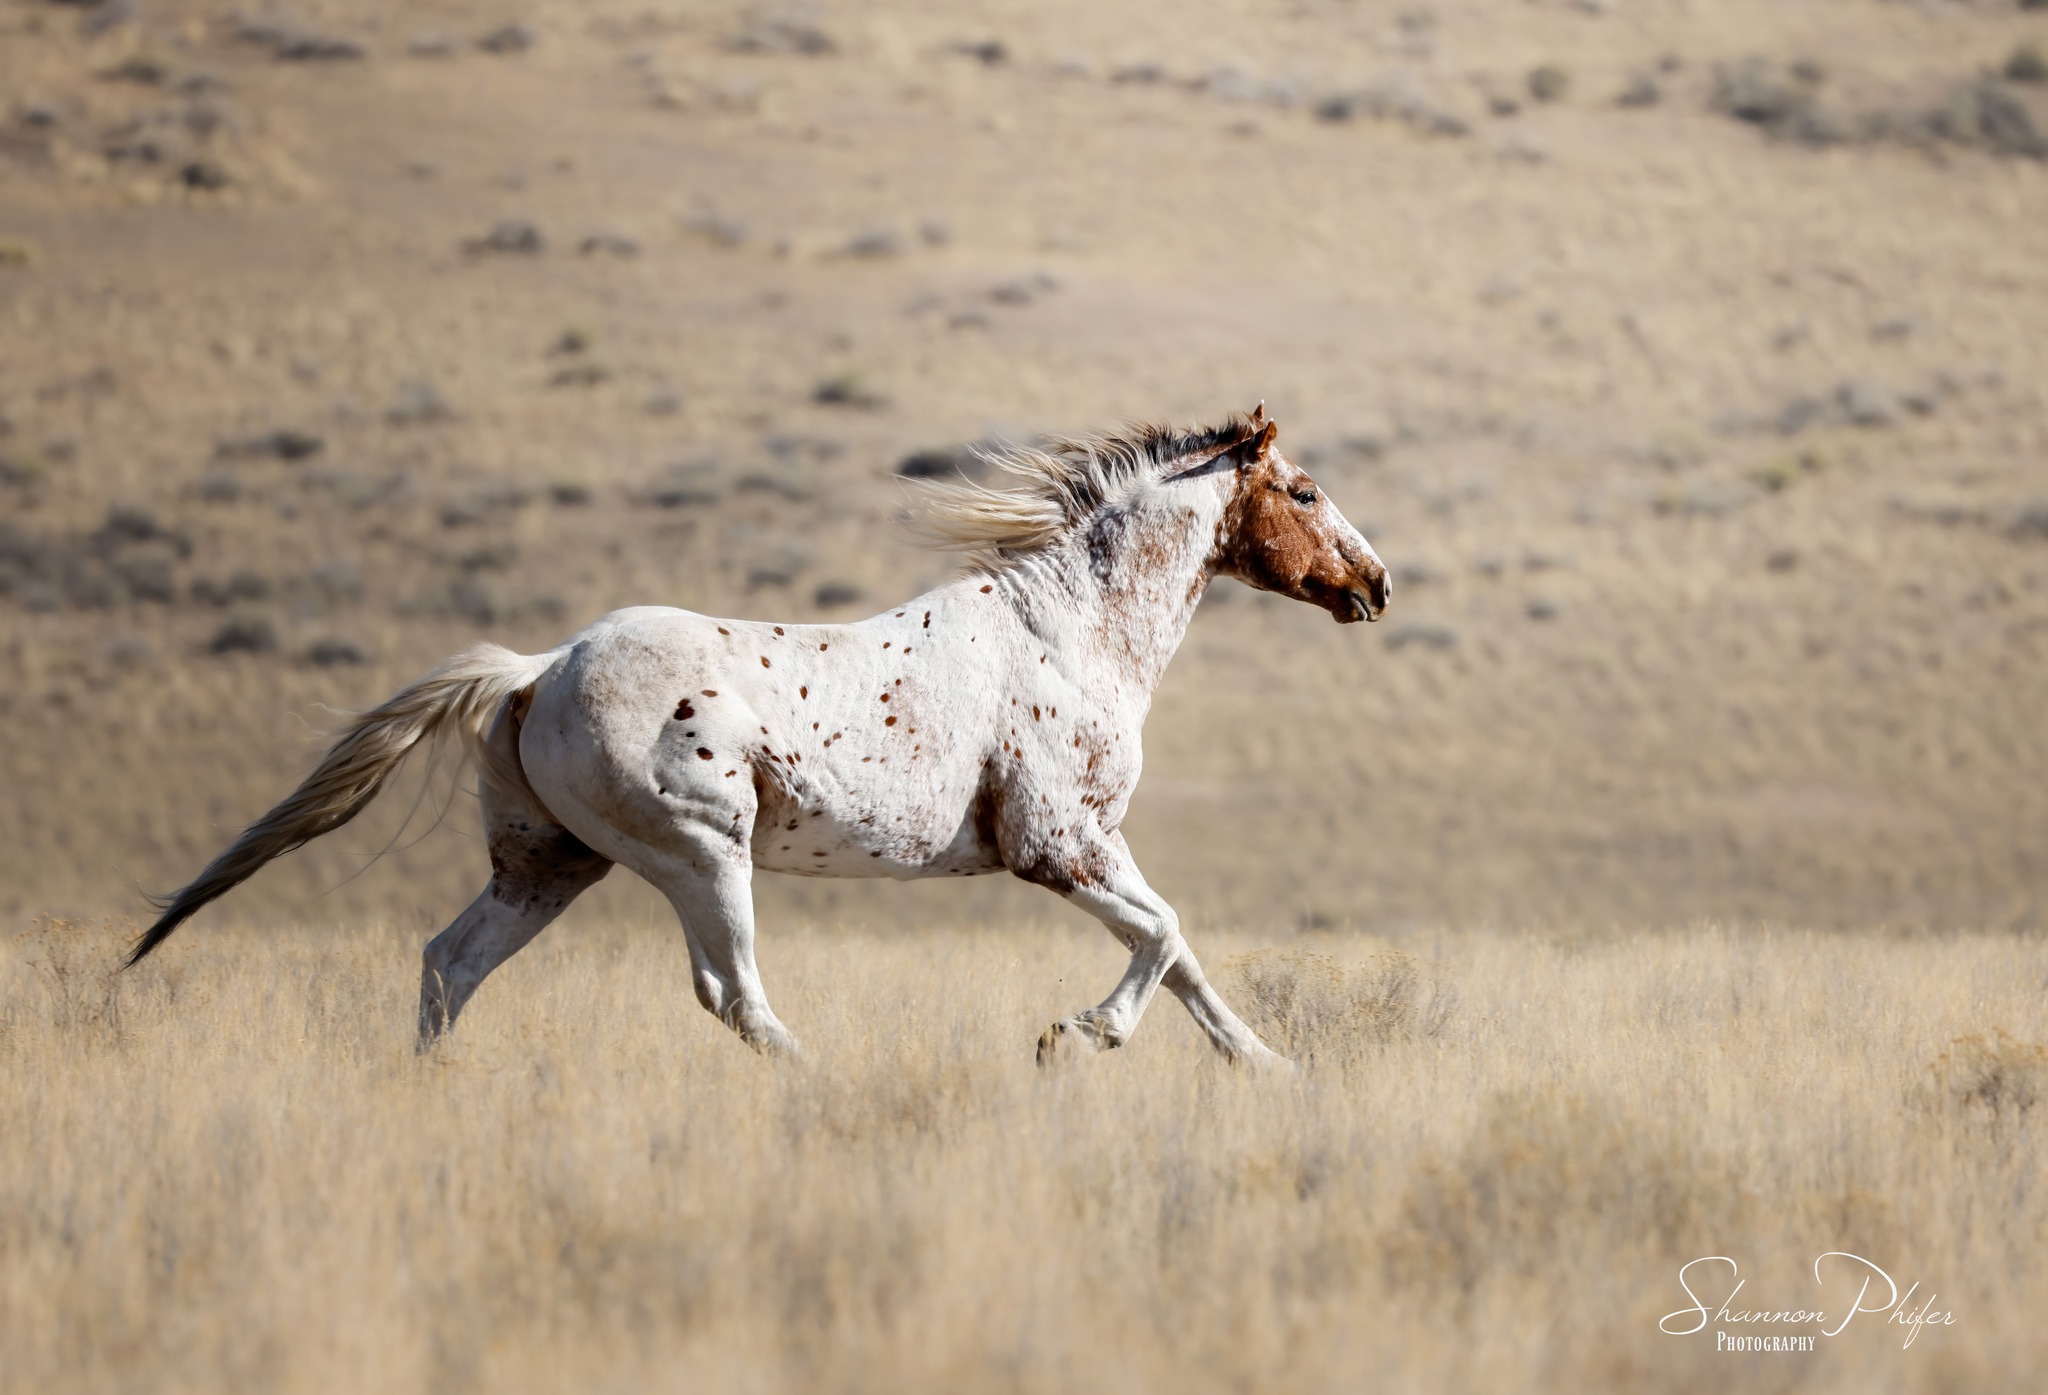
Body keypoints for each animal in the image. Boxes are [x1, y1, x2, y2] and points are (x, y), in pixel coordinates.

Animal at [127, 405, 1389, 1065]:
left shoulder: (1096, 844)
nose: (1374, 586)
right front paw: (1075, 1036)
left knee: (451, 964)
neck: (1069, 632)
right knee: (730, 996)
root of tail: (537, 671)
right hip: (699, 855)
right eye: (1305, 491)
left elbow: (1181, 949)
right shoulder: (1054, 846)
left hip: (550, 865)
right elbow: (1160, 935)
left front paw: (1263, 1065)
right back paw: (824, 1081)